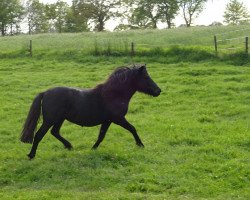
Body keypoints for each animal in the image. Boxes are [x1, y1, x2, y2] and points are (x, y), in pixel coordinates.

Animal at [20, 64, 160, 159]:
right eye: (146, 77)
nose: (158, 91)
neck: (114, 95)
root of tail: (45, 93)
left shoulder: (108, 121)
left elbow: (101, 136)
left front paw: (93, 148)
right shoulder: (118, 119)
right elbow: (132, 129)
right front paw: (140, 144)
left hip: (59, 119)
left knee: (55, 132)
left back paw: (69, 146)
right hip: (50, 120)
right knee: (39, 135)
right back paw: (31, 155)